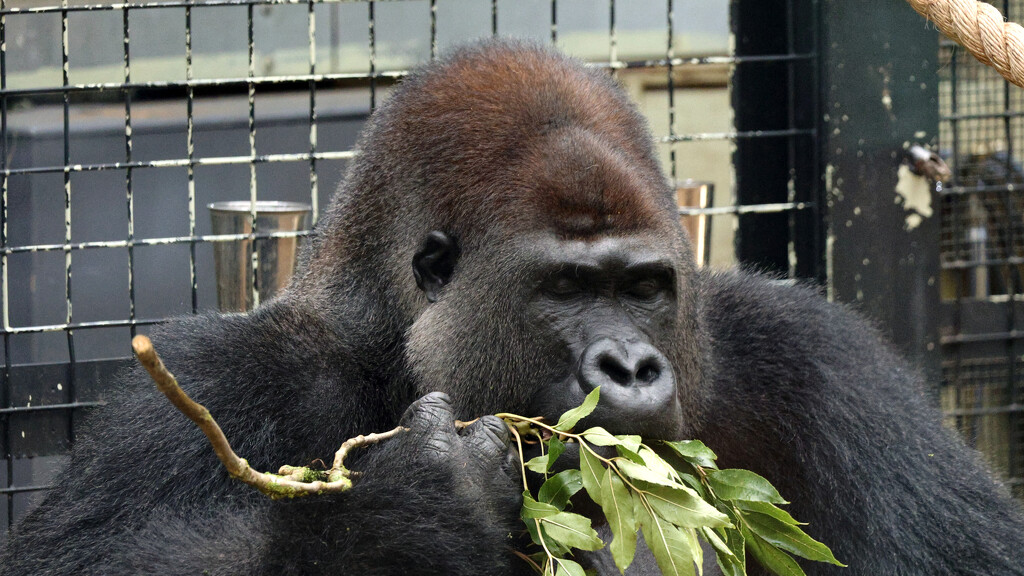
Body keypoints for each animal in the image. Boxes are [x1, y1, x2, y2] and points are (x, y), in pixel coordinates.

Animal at [2, 40, 1024, 573]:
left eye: (644, 287)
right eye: (564, 289)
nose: (629, 366)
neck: (390, 347)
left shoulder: (816, 360)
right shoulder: (218, 376)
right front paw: (401, 514)